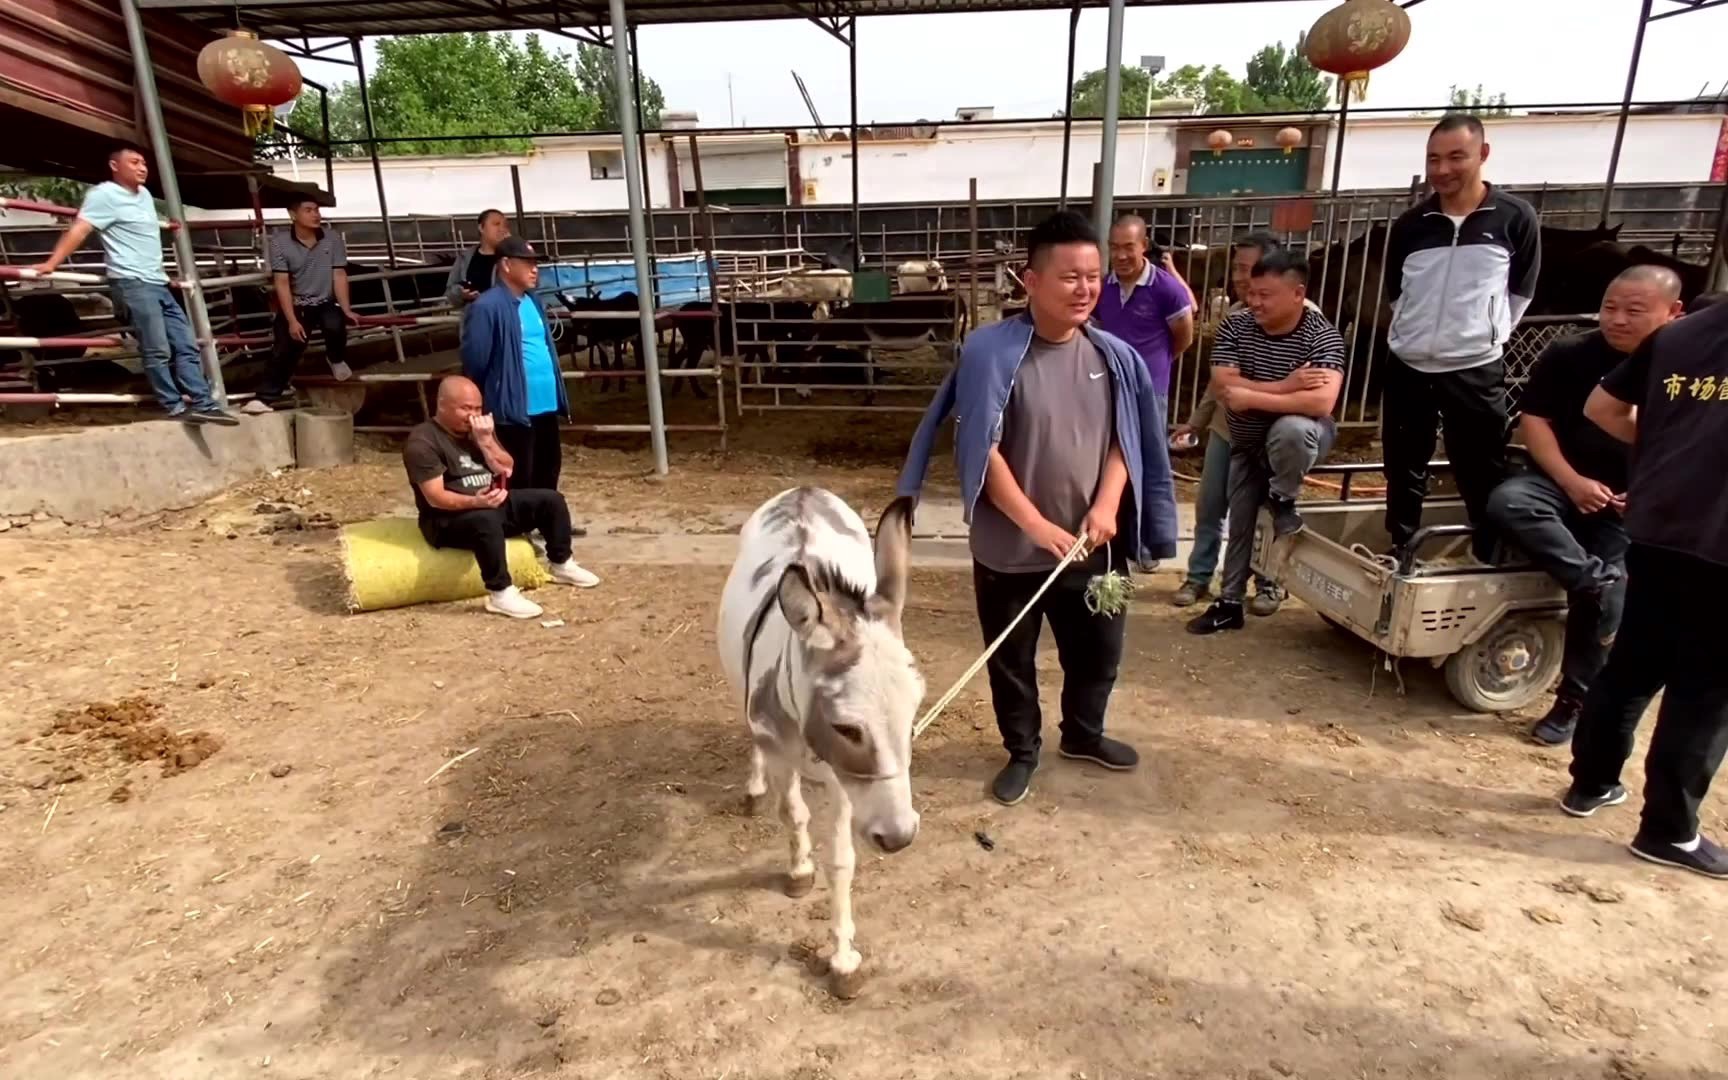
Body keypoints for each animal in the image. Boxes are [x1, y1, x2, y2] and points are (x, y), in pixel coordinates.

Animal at [715, 487, 926, 995]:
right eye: (847, 728)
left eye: (914, 713)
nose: (899, 837)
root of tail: (803, 491)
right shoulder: (783, 752)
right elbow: (792, 815)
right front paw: (799, 872)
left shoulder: (844, 780)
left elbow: (842, 861)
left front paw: (843, 959)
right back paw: (753, 789)